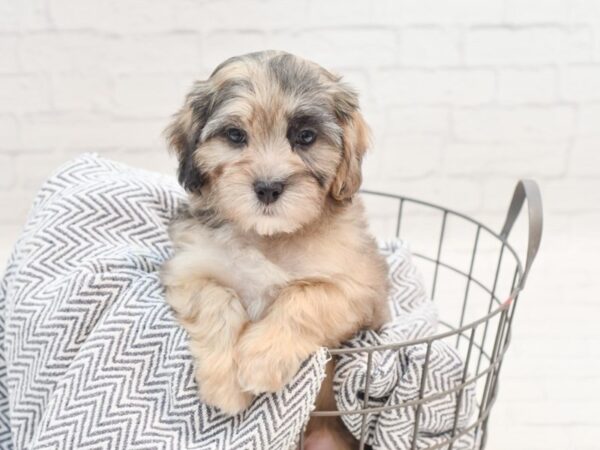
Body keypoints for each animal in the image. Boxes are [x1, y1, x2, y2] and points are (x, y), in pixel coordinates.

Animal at [159, 51, 392, 448]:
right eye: (235, 136)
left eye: (306, 136)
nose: (268, 188)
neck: (267, 237)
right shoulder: (188, 270)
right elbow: (217, 300)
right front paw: (226, 385)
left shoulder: (361, 289)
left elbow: (304, 297)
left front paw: (259, 360)